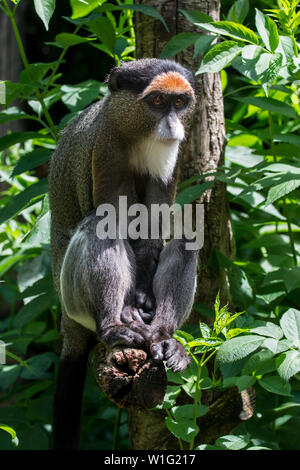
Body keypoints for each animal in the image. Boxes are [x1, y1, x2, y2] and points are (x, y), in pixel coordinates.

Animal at [48, 58, 199, 448]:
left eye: (179, 103)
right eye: (157, 102)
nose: (173, 125)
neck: (136, 133)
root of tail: (68, 325)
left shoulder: (173, 157)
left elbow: (151, 238)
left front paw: (145, 304)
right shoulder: (106, 148)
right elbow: (112, 220)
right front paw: (128, 311)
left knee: (186, 237)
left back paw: (163, 337)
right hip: (73, 300)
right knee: (99, 225)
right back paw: (115, 326)